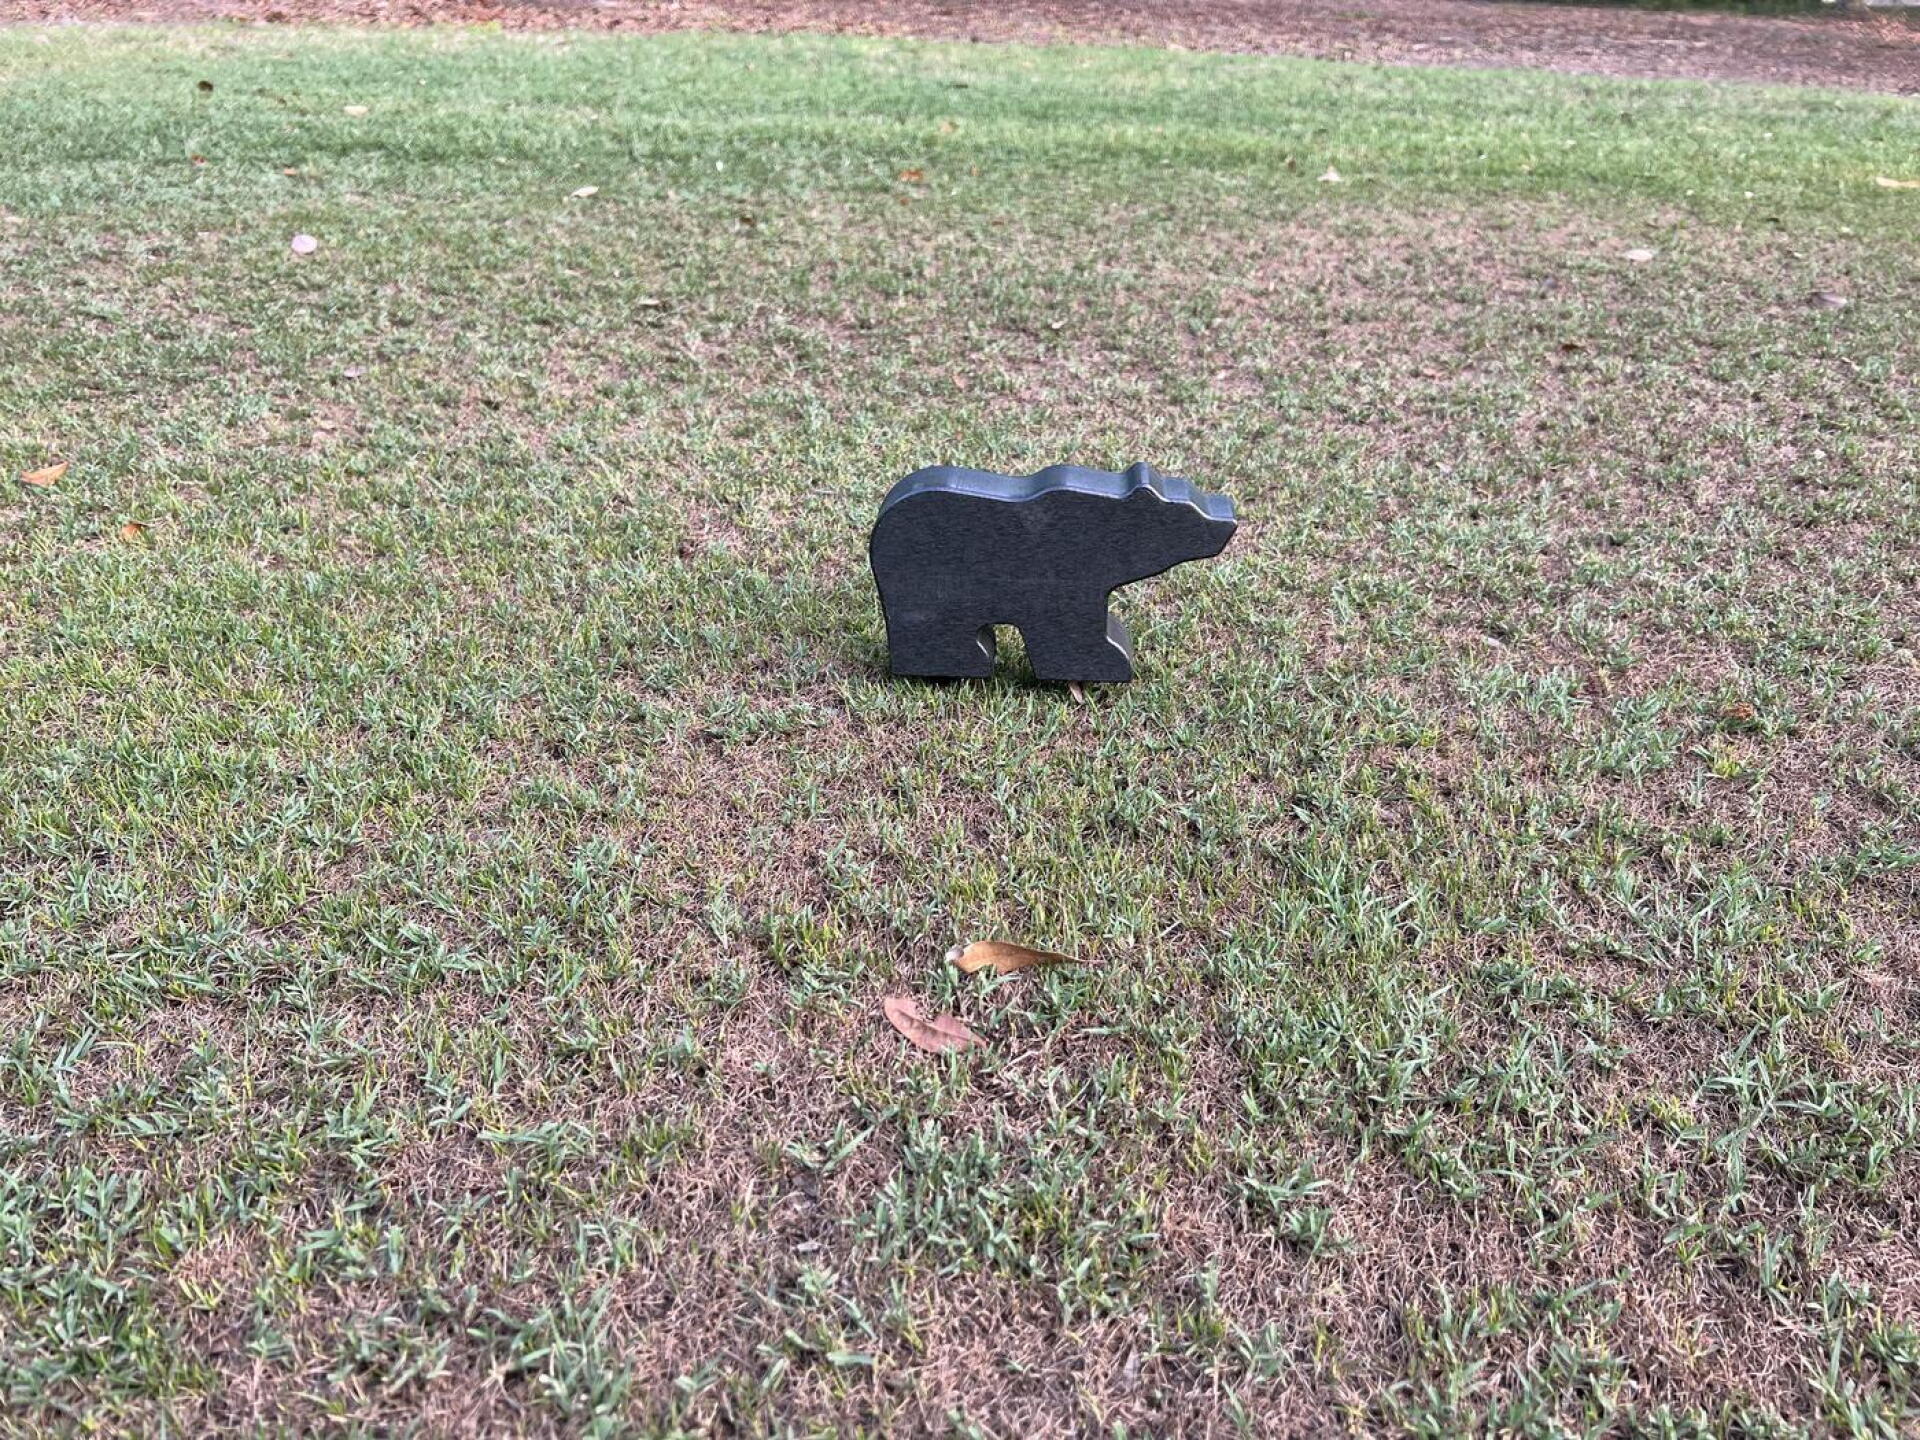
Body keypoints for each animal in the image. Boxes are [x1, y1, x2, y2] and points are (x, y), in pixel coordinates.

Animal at [868, 461, 1238, 683]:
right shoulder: (1060, 577)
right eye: (1188, 512)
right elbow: (1067, 628)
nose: (1228, 517)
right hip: (922, 581)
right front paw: (1102, 665)